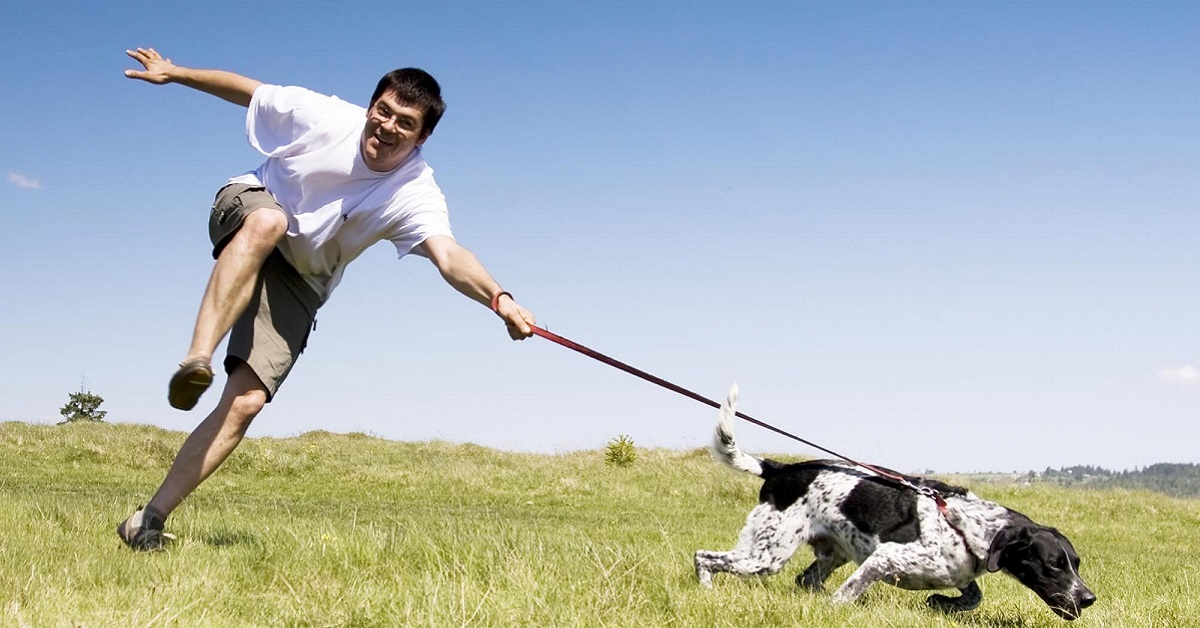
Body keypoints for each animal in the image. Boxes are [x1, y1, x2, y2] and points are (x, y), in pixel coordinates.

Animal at [696, 386, 1099, 619]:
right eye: (1054, 564)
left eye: (1076, 563)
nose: (1089, 598)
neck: (967, 527)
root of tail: (779, 470)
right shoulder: (884, 558)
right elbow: (847, 594)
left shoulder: (956, 573)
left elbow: (974, 595)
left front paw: (941, 603)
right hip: (766, 555)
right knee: (704, 557)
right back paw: (706, 590)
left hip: (829, 553)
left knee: (805, 579)